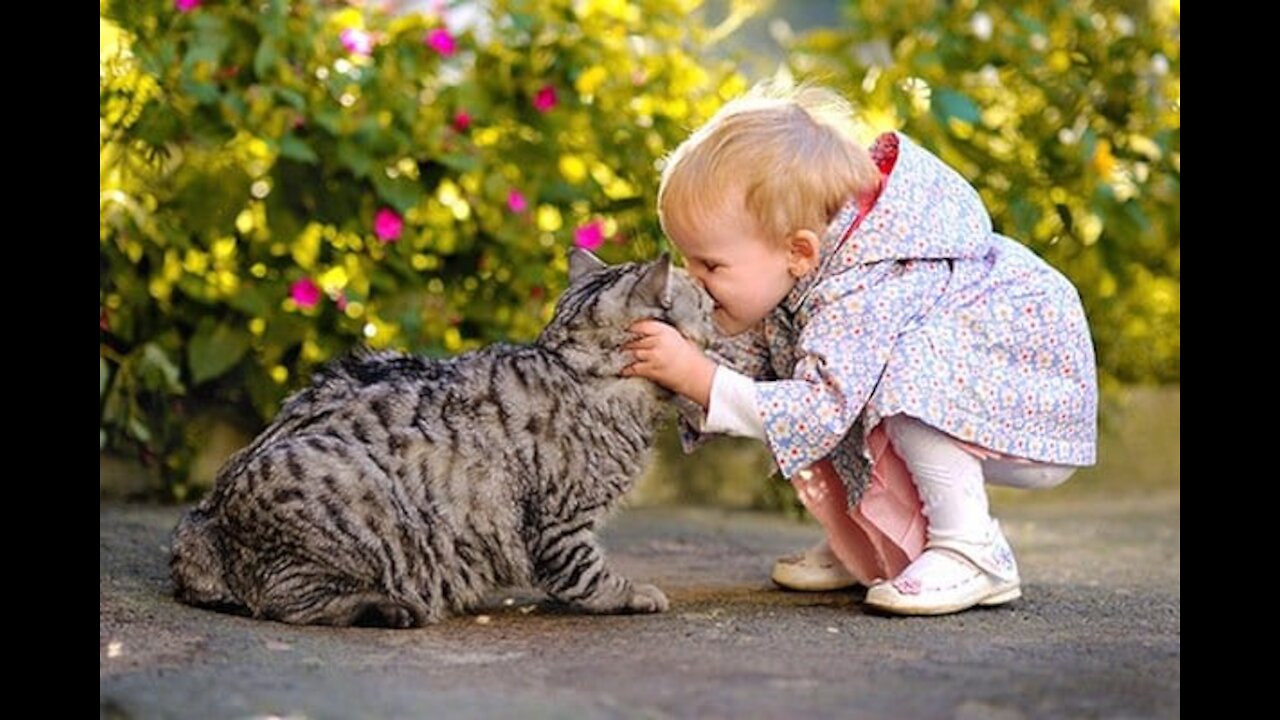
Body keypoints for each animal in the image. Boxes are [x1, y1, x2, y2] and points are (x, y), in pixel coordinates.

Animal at [170, 249, 716, 625]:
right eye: (705, 309)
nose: (717, 311)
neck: (573, 365)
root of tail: (204, 523)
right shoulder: (561, 523)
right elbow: (586, 575)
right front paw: (631, 593)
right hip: (347, 493)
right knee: (288, 601)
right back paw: (387, 608)